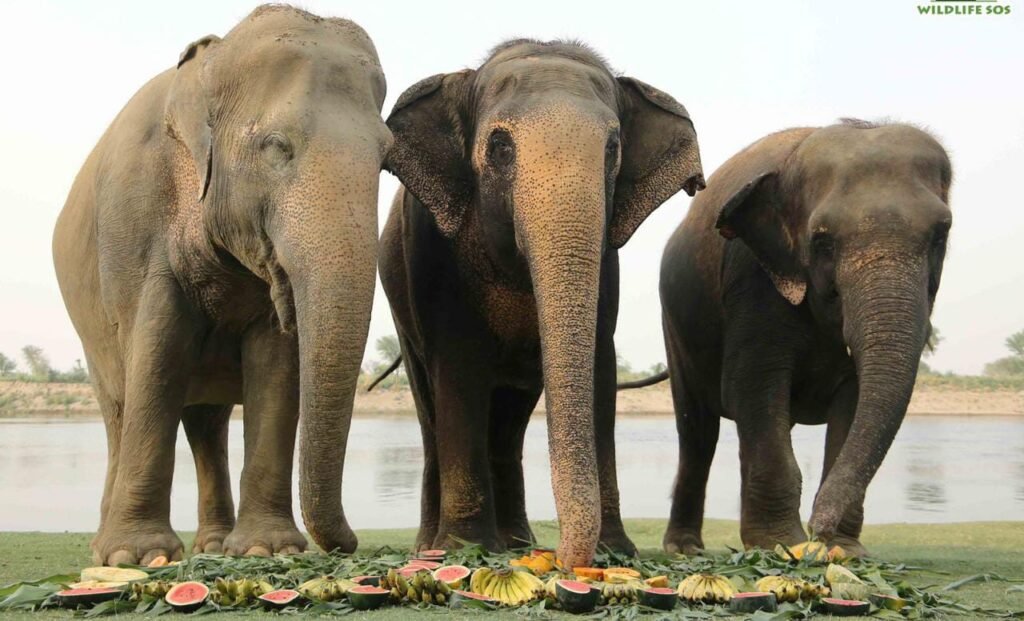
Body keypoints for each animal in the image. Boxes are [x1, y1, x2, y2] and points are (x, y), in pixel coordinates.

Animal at [52, 5, 391, 565]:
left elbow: (276, 364)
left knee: (207, 423)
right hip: (90, 334)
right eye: (276, 147)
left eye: (387, 158)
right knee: (119, 409)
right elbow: (157, 352)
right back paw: (104, 550)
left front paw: (265, 550)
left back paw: (212, 544)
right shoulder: (133, 222)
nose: (351, 543)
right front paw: (137, 558)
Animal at [378, 38, 704, 568]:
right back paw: (433, 548)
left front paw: (616, 552)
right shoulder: (434, 254)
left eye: (612, 149)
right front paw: (465, 549)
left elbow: (599, 369)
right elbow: (459, 367)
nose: (567, 560)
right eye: (500, 147)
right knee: (430, 409)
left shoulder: (605, 260)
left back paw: (514, 542)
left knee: (509, 422)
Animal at [656, 119, 952, 556]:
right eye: (822, 241)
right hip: (676, 325)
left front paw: (844, 550)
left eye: (940, 236)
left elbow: (854, 400)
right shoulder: (751, 277)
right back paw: (685, 548)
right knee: (697, 430)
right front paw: (782, 544)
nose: (818, 530)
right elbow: (754, 385)